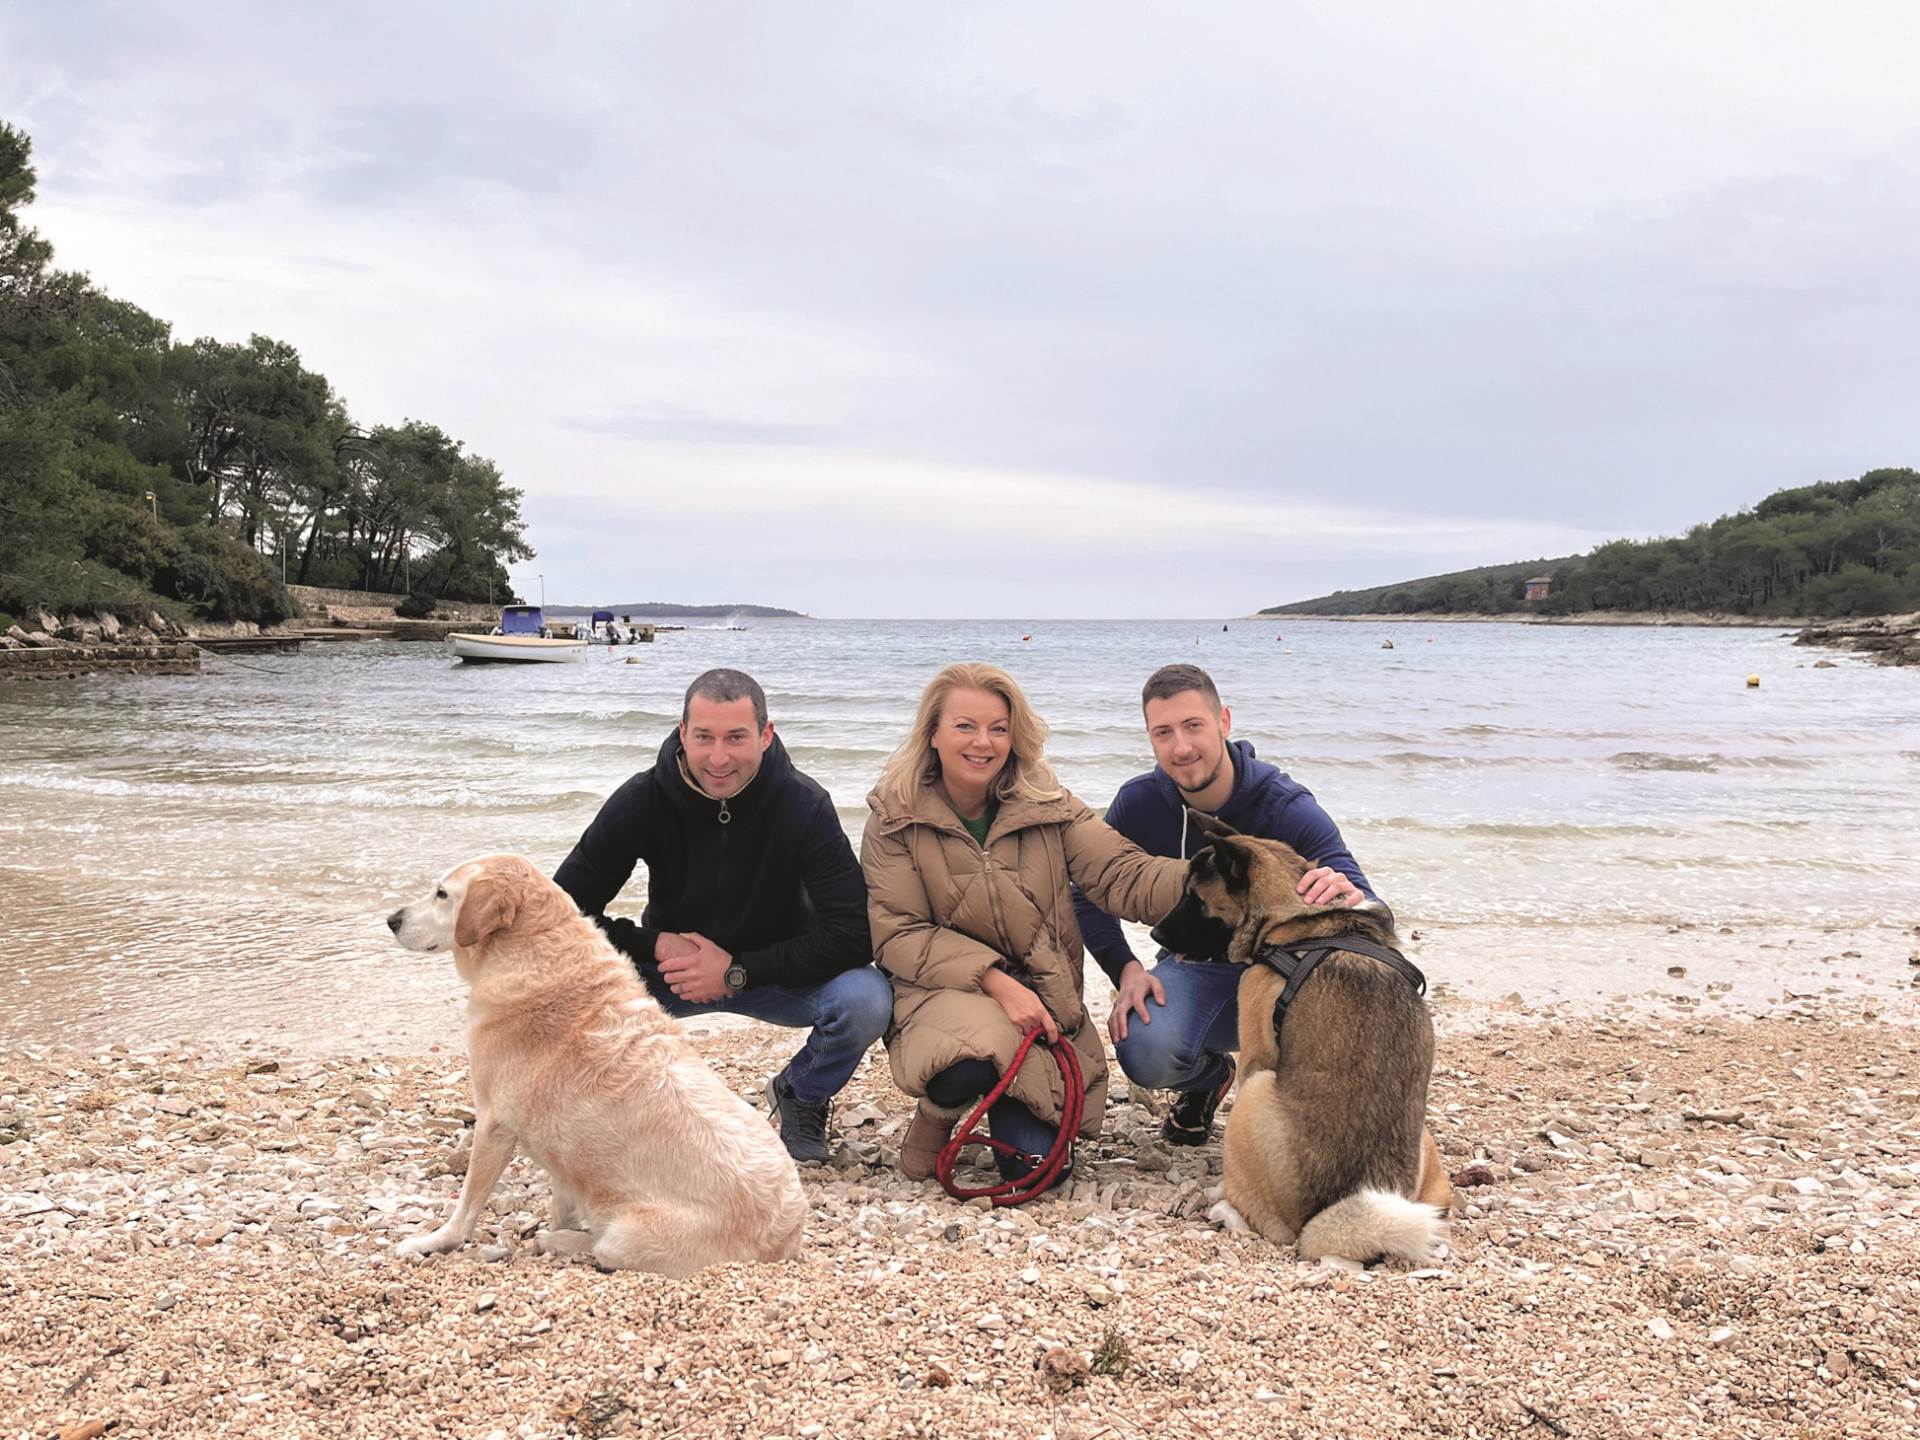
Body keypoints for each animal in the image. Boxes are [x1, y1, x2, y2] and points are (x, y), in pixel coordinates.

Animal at [385, 856, 806, 1274]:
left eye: (442, 894)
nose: (391, 920)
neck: (532, 944)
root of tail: (784, 1241)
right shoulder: (559, 1151)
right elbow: (562, 1196)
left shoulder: (493, 1123)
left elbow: (467, 1205)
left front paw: (435, 1241)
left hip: (627, 1237)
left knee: (600, 1248)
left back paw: (558, 1241)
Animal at [1144, 817, 1443, 1267]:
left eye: (1195, 899)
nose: (1154, 932)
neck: (1294, 918)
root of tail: (1333, 1213)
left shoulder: (1256, 1053)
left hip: (1255, 1090)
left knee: (1270, 1225)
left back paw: (1223, 1204)